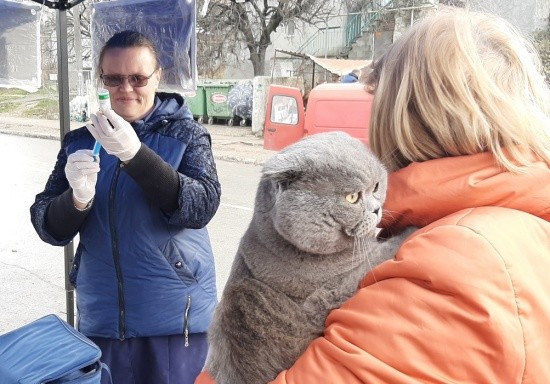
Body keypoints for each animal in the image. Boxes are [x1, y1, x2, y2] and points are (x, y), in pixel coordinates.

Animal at [207, 132, 414, 384]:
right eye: (352, 197)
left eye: (376, 187)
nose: (376, 209)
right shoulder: (332, 289)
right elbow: (377, 257)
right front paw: (412, 230)